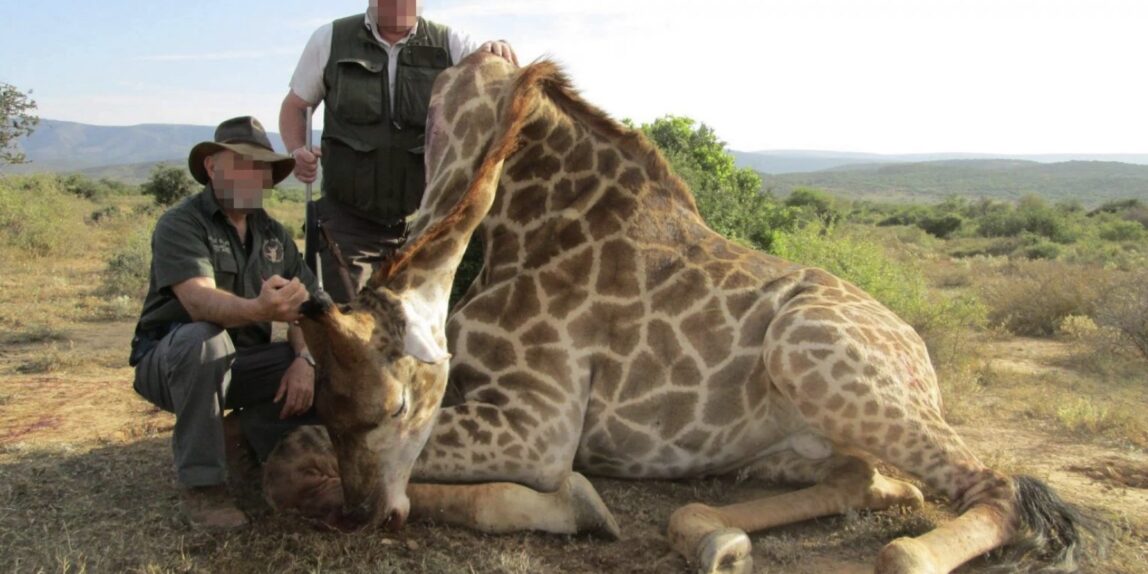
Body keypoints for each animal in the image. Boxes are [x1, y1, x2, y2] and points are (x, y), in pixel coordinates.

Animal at [264, 51, 1097, 571]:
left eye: (395, 405)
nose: (365, 514)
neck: (531, 227)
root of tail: (920, 355)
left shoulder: (538, 423)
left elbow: (301, 453)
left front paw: (577, 504)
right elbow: (296, 453)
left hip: (809, 350)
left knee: (985, 491)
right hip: (789, 443)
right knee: (874, 480)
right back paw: (713, 535)